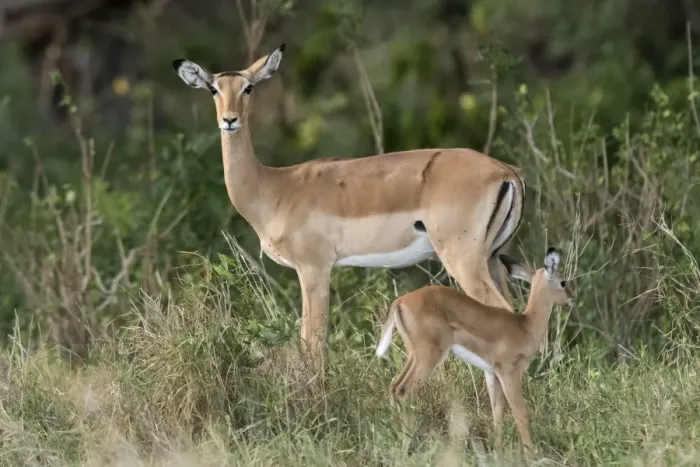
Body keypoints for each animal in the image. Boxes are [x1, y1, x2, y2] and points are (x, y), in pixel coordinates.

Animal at [172, 44, 526, 377]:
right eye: (213, 89)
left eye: (248, 88)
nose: (229, 120)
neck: (274, 187)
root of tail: (507, 172)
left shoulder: (314, 268)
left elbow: (312, 343)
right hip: (493, 259)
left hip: (464, 260)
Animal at [375, 247, 575, 452]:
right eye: (563, 281)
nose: (571, 299)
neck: (525, 326)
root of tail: (400, 301)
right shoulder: (510, 373)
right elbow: (521, 414)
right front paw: (531, 454)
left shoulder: (492, 374)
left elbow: (497, 413)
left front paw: (498, 451)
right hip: (429, 357)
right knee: (404, 391)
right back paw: (408, 444)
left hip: (414, 356)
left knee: (394, 387)